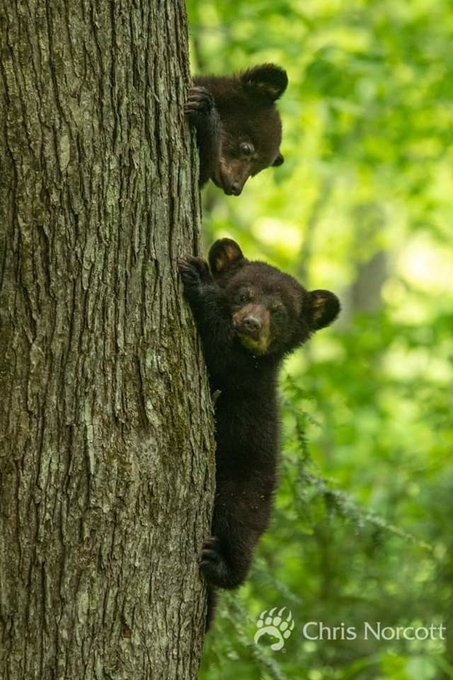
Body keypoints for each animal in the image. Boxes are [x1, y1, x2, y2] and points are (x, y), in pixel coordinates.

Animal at [178, 239, 340, 627]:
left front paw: (199, 280)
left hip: (246, 493)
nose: (251, 324)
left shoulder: (244, 374)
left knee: (239, 529)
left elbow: (222, 348)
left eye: (279, 312)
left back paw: (222, 565)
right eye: (243, 295)